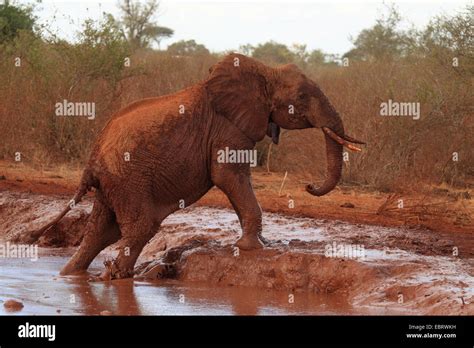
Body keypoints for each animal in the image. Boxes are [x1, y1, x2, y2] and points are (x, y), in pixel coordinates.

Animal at [30, 52, 362, 280]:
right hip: (128, 178)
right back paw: (116, 276)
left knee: (101, 231)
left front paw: (255, 243)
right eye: (302, 97)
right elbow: (228, 175)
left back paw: (73, 275)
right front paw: (252, 248)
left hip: (113, 183)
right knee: (140, 226)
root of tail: (92, 159)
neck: (264, 71)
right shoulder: (229, 127)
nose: (308, 186)